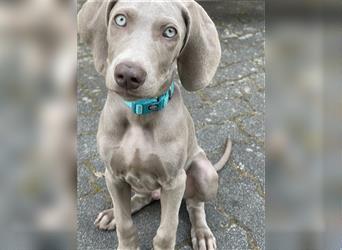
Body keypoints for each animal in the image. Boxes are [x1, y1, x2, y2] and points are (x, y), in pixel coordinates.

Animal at [78, 0, 232, 250]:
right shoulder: (113, 175)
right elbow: (125, 224)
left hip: (205, 173)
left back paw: (202, 233)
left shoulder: (174, 182)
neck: (139, 113)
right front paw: (124, 236)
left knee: (194, 204)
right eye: (120, 19)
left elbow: (166, 232)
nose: (128, 74)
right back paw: (112, 213)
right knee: (141, 198)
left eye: (170, 32)